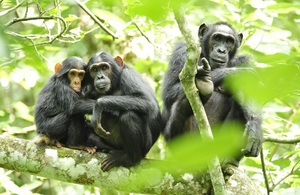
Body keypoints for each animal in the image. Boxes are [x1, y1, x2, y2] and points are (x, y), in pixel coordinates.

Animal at [162, 21, 262, 165]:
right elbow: (169, 91)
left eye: (229, 41)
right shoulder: (181, 52)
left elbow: (249, 91)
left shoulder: (245, 60)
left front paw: (255, 128)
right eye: (217, 38)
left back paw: (228, 159)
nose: (221, 50)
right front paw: (235, 73)